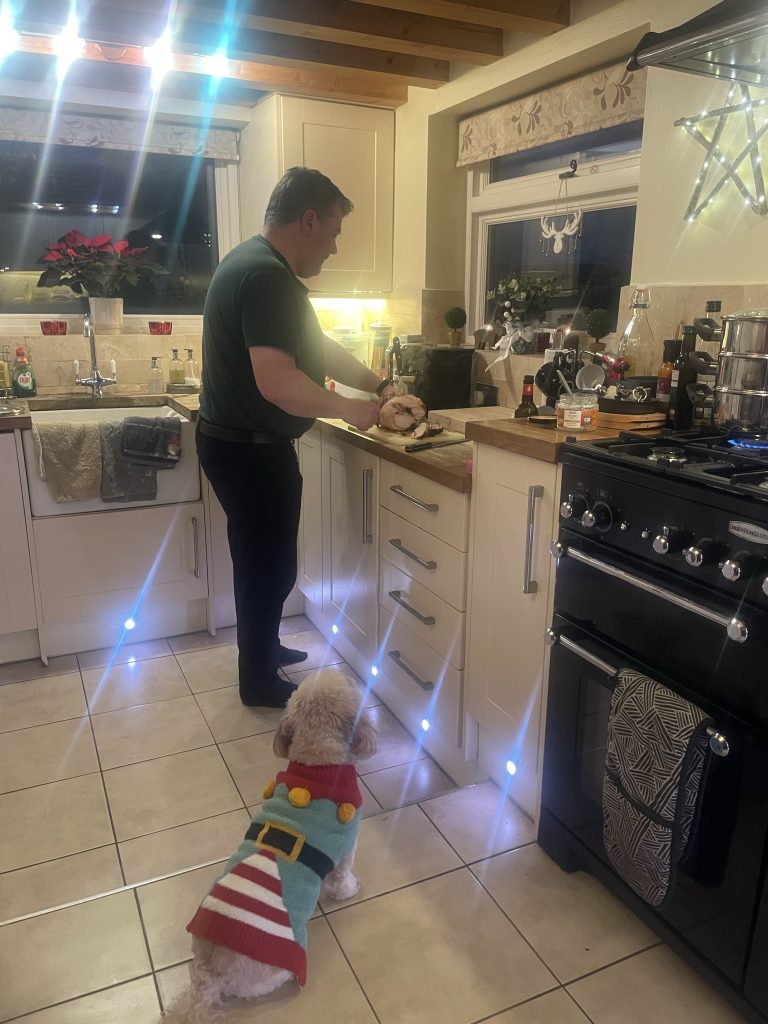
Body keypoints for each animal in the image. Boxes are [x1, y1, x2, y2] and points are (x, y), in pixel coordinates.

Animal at [162, 668, 377, 1021]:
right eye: (349, 682)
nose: (343, 668)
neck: (317, 765)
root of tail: (209, 975)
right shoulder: (347, 847)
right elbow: (341, 879)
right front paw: (350, 890)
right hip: (277, 969)